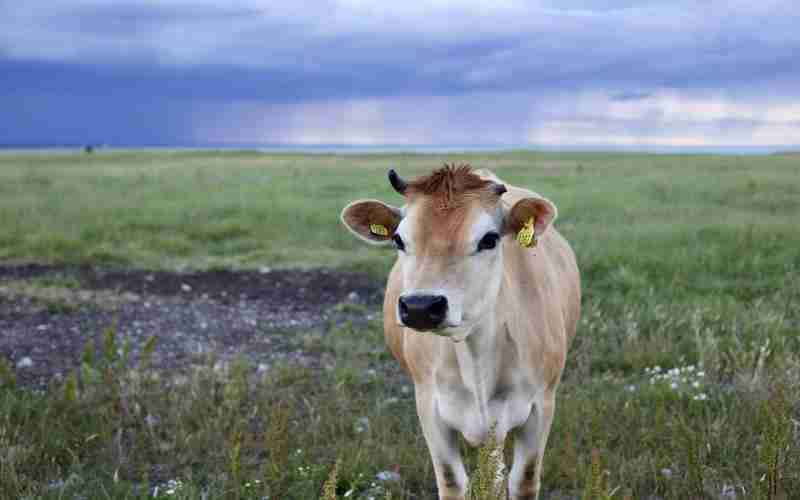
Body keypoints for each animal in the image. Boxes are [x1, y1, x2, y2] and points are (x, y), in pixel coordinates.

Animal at [340, 165, 580, 500]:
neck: (476, 355)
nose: (420, 306)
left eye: (490, 239)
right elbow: (452, 481)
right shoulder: (429, 406)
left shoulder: (541, 405)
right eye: (399, 239)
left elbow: (523, 480)